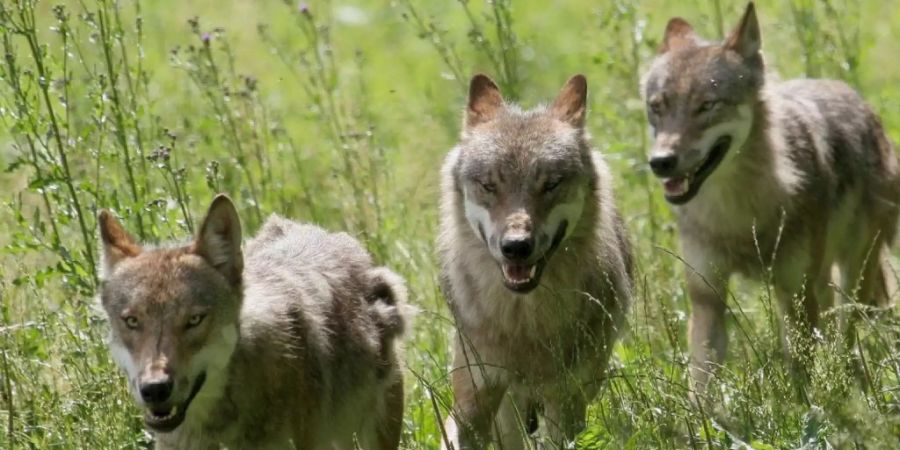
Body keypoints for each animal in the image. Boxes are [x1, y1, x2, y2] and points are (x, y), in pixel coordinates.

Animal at [436, 72, 632, 448]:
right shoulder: (474, 397)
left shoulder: (566, 399)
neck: (523, 322)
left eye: (551, 185)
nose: (516, 246)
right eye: (489, 186)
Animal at [640, 1, 900, 390]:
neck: (737, 212)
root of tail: (857, 99)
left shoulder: (794, 296)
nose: (660, 162)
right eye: (658, 107)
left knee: (845, 340)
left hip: (850, 276)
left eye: (707, 105)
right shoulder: (707, 298)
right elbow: (702, 386)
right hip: (821, 281)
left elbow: (800, 380)